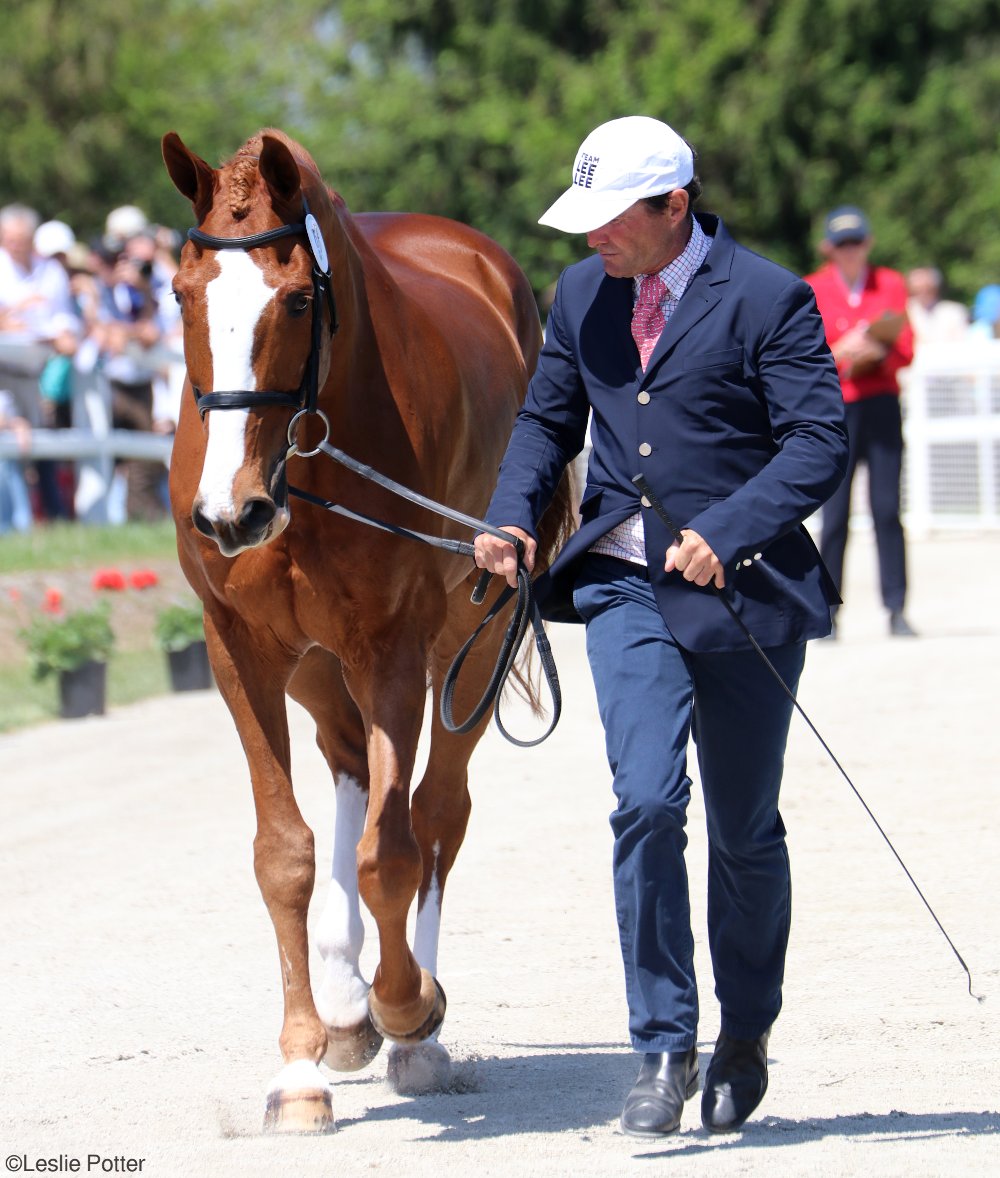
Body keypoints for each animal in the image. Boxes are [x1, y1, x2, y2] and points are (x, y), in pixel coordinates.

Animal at [161, 128, 572, 1130]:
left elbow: (393, 850)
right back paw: (348, 1011)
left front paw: (408, 1007)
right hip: (319, 666)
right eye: (182, 294)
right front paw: (301, 1065)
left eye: (299, 298)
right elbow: (286, 855)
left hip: (472, 642)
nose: (230, 514)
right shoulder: (242, 650)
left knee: (435, 815)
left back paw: (409, 1024)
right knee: (351, 772)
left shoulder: (392, 646)